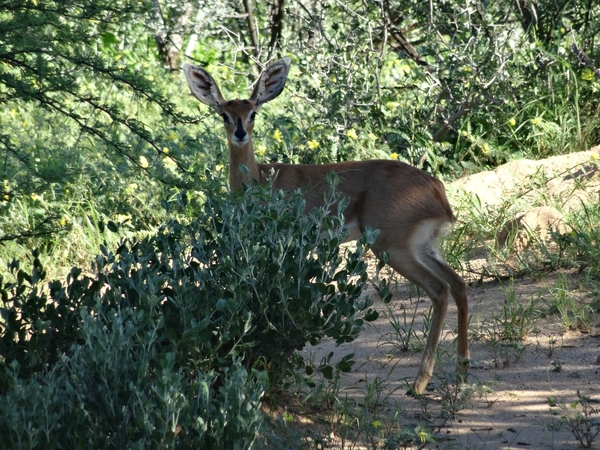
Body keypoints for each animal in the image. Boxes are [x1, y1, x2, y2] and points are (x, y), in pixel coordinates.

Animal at [183, 57, 468, 394]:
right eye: (224, 114)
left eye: (253, 112)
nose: (240, 133)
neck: (260, 179)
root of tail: (437, 190)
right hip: (424, 247)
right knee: (459, 284)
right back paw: (461, 369)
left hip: (393, 248)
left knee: (440, 290)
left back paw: (419, 382)